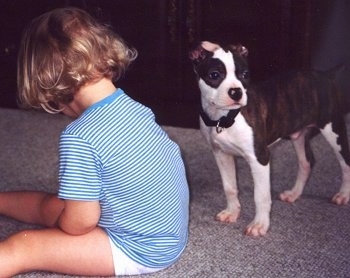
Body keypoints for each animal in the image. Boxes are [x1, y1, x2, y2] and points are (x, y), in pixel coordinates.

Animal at [189, 40, 350, 237]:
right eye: (214, 75)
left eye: (245, 75)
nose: (236, 92)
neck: (224, 118)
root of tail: (325, 75)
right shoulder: (221, 154)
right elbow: (230, 187)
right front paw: (232, 212)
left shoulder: (260, 158)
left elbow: (261, 195)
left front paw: (259, 224)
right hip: (298, 135)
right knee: (307, 162)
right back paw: (293, 194)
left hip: (333, 129)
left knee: (345, 163)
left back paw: (343, 195)